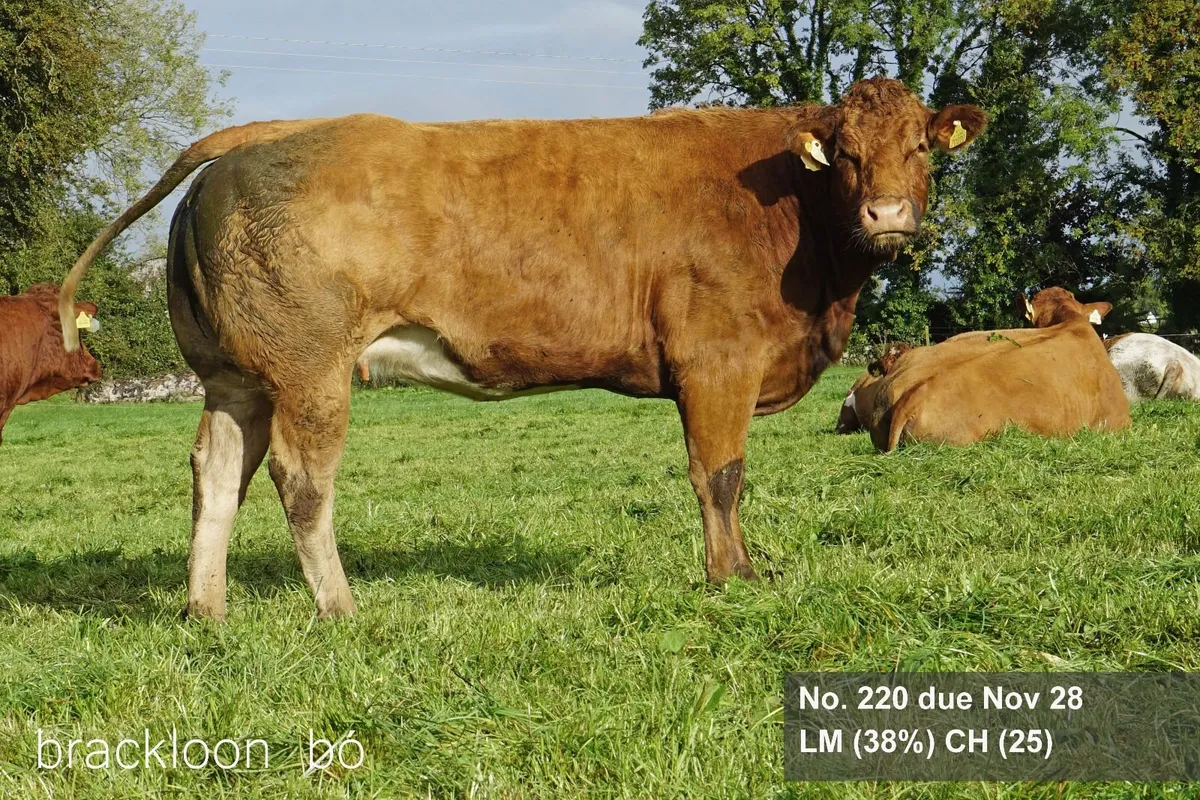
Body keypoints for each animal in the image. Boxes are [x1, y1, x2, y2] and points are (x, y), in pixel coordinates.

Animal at [58, 77, 987, 620]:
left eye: (919, 149)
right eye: (849, 156)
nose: (889, 216)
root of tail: (259, 134)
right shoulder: (717, 361)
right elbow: (720, 478)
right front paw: (735, 578)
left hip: (234, 377)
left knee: (216, 475)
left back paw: (206, 610)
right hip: (308, 370)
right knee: (300, 479)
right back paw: (341, 608)